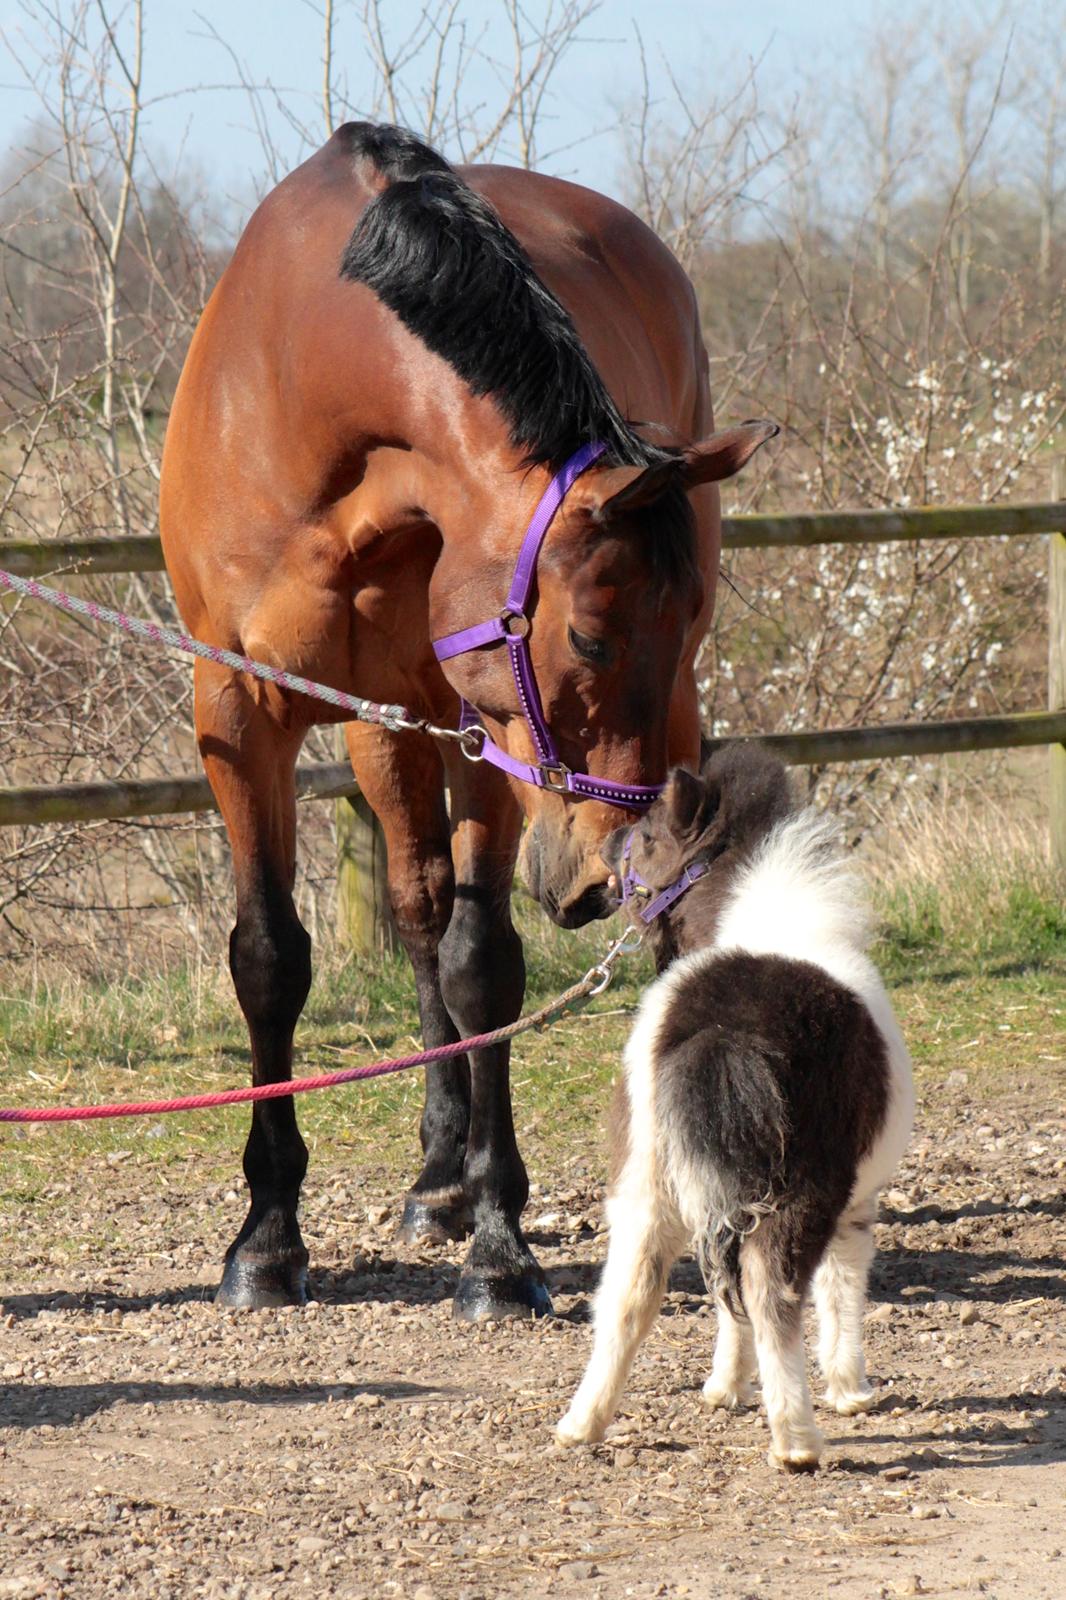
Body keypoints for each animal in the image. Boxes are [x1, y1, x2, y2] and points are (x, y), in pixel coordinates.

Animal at [157, 124, 771, 1318]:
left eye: (683, 620)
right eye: (587, 637)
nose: (598, 866)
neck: (306, 388)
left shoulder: (484, 725)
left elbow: (481, 960)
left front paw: (499, 1244)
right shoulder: (241, 711)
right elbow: (272, 956)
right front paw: (267, 1238)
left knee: (624, 923)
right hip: (384, 727)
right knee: (414, 903)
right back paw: (436, 1175)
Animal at [550, 742, 909, 1465]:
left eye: (649, 835)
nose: (604, 847)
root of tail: (724, 1030)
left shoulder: (716, 1188)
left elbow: (724, 1295)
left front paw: (724, 1387)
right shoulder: (856, 1200)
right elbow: (842, 1284)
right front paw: (850, 1388)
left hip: (645, 1179)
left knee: (629, 1296)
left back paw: (582, 1423)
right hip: (804, 1190)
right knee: (775, 1289)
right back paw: (796, 1439)